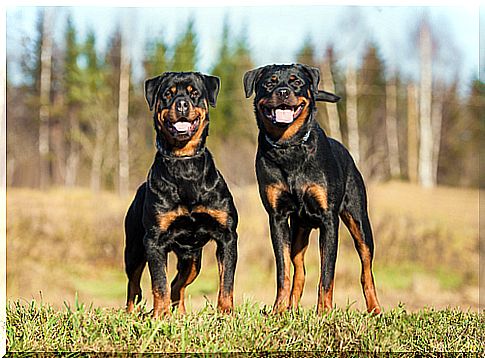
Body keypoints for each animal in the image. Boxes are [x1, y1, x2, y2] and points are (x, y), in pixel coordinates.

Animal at [125, 71, 238, 318]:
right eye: (168, 94)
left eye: (194, 93)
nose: (183, 103)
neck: (184, 163)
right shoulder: (154, 240)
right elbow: (159, 282)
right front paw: (160, 315)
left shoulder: (227, 236)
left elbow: (226, 280)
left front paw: (226, 312)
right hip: (134, 249)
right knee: (134, 285)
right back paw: (130, 313)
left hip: (192, 258)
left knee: (178, 284)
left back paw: (182, 314)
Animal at [244, 63, 380, 314]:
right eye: (269, 82)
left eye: (296, 81)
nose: (283, 92)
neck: (289, 148)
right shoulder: (277, 217)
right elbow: (283, 271)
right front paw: (278, 310)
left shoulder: (329, 219)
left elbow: (327, 273)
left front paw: (324, 311)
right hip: (299, 228)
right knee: (299, 270)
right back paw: (291, 308)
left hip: (359, 220)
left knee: (366, 268)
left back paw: (375, 309)